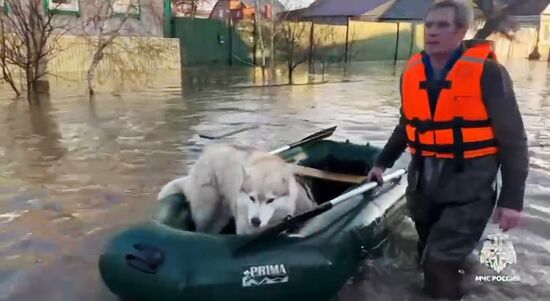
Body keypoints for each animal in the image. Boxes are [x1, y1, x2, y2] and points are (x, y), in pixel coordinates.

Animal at [157, 143, 316, 234]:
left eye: (271, 200)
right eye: (251, 198)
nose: (255, 221)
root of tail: (207, 152)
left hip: (221, 214)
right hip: (205, 212)